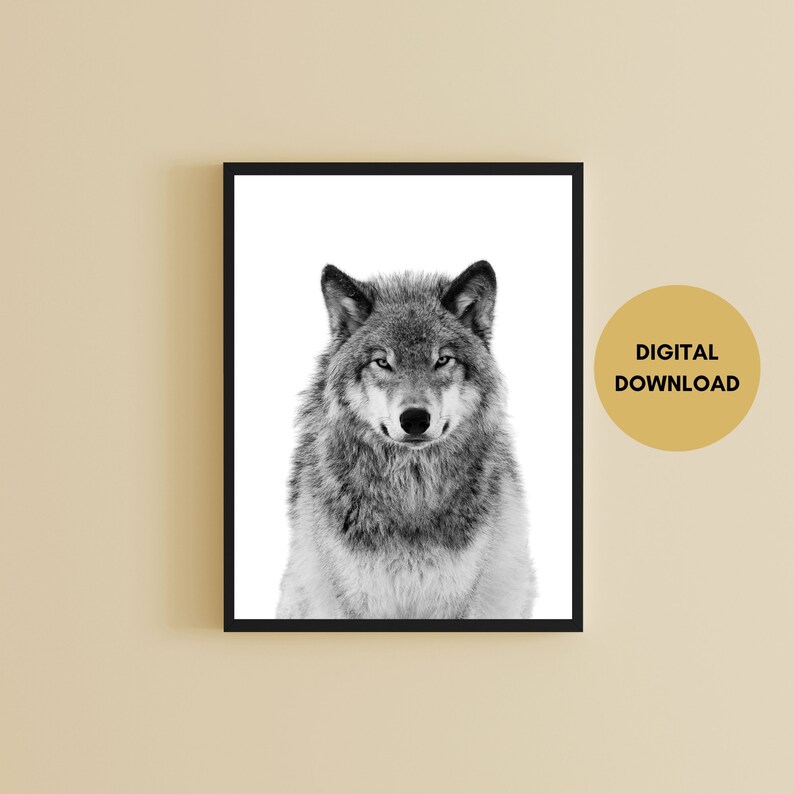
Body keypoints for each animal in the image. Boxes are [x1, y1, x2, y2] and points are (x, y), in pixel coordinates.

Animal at [276, 260, 536, 619]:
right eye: (383, 361)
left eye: (442, 359)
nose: (414, 419)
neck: (411, 492)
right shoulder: (359, 596)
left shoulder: (454, 597)